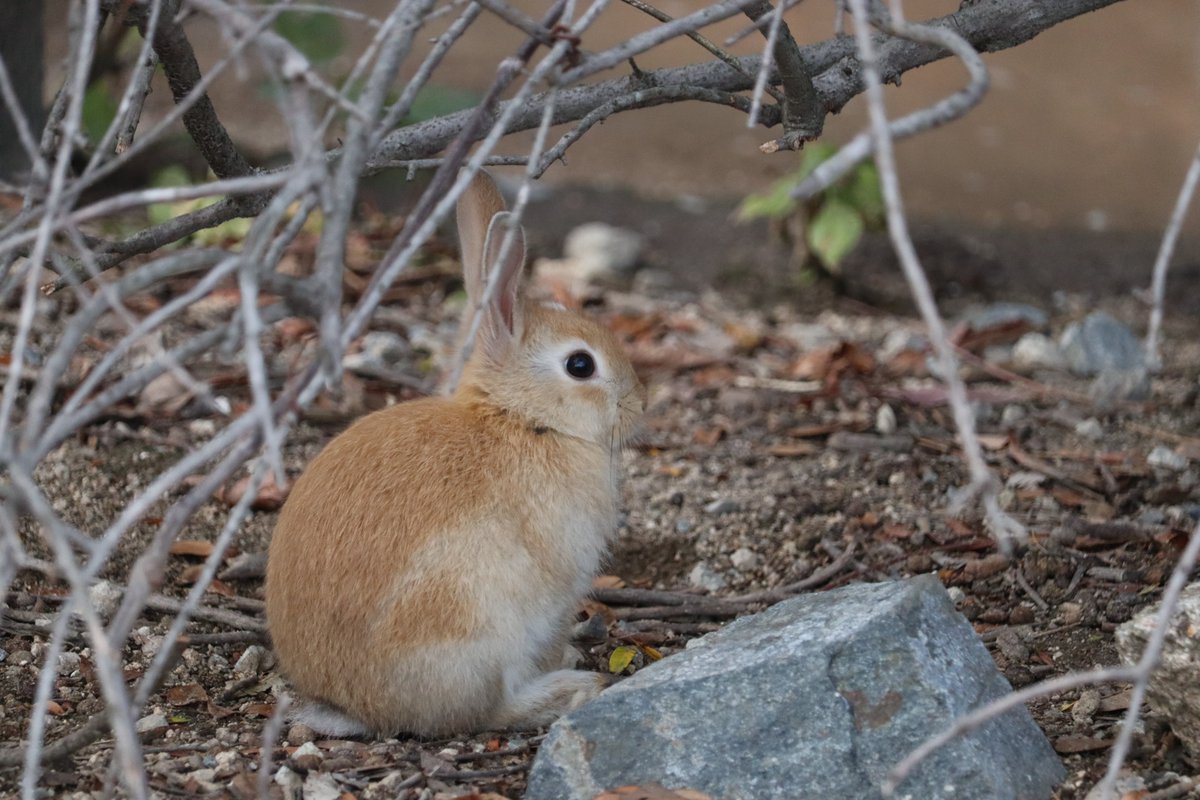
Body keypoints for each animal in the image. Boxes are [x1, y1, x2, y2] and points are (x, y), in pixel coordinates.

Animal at [264, 169, 648, 738]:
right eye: (581, 365)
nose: (639, 404)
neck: (521, 419)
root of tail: (357, 705)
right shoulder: (559, 589)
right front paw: (566, 661)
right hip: (473, 626)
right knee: (485, 711)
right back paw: (569, 690)